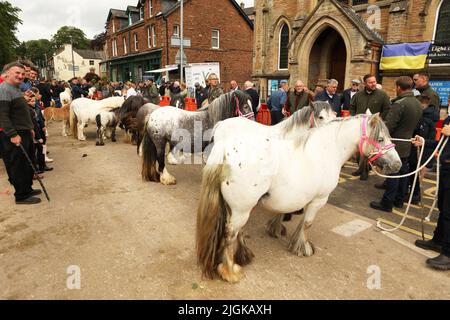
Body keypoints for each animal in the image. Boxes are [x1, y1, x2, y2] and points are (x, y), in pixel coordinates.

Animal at [197, 113, 400, 282]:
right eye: (380, 138)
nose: (397, 164)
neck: (326, 151)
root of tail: (225, 149)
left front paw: (279, 230)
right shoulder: (319, 200)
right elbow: (307, 224)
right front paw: (302, 248)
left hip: (238, 208)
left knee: (237, 231)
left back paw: (243, 256)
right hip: (241, 209)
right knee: (230, 234)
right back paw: (230, 271)